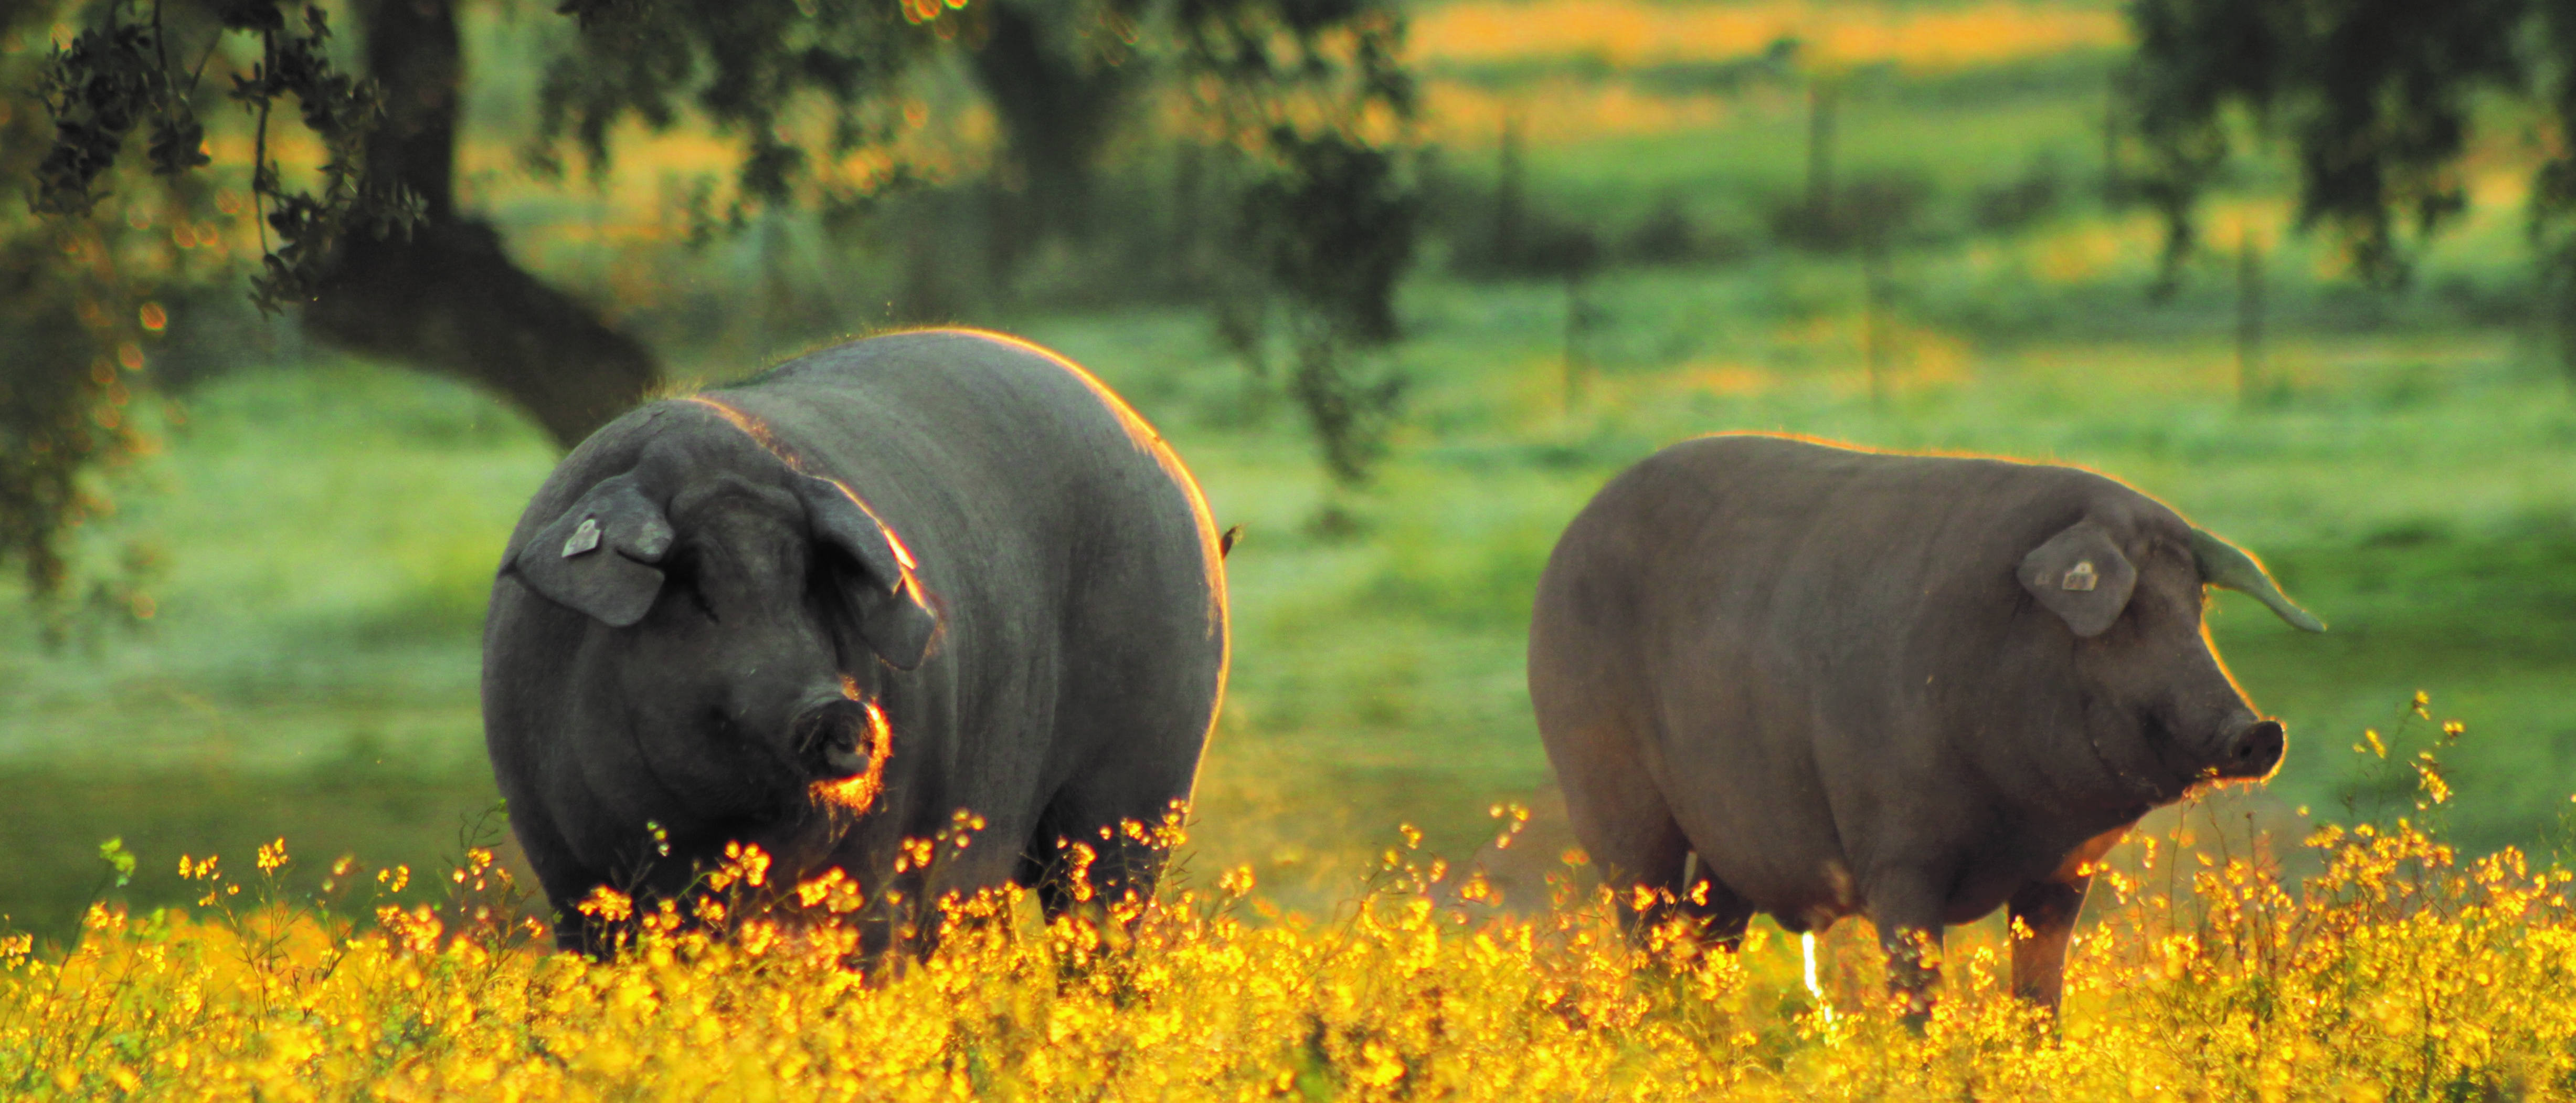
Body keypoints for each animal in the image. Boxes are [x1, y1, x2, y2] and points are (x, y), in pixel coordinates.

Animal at [492, 324, 1236, 948]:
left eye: (805, 582)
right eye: (697, 592)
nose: (840, 707)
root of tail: (1192, 501)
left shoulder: (879, 862)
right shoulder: (567, 878)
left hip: (1143, 789)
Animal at [1514, 433, 2328, 1015]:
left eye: (2195, 602)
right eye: (2126, 613)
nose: (2259, 731)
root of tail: (1564, 543)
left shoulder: (2062, 873)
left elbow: (2040, 999)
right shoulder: (1897, 855)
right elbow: (1918, 996)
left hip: (1728, 847)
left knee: (1706, 940)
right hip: (1607, 795)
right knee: (1645, 931)